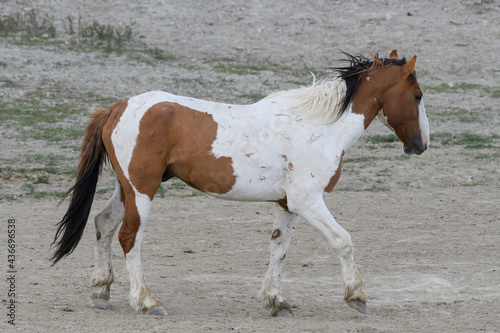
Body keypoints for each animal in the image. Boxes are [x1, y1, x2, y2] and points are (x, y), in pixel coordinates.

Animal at [52, 50, 432, 316]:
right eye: (417, 96)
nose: (421, 144)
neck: (320, 127)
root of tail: (118, 107)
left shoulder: (288, 204)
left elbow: (279, 250)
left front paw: (275, 301)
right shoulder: (309, 201)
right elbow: (343, 241)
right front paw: (357, 296)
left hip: (126, 188)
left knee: (103, 224)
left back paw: (101, 292)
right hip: (142, 190)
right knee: (129, 237)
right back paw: (146, 301)